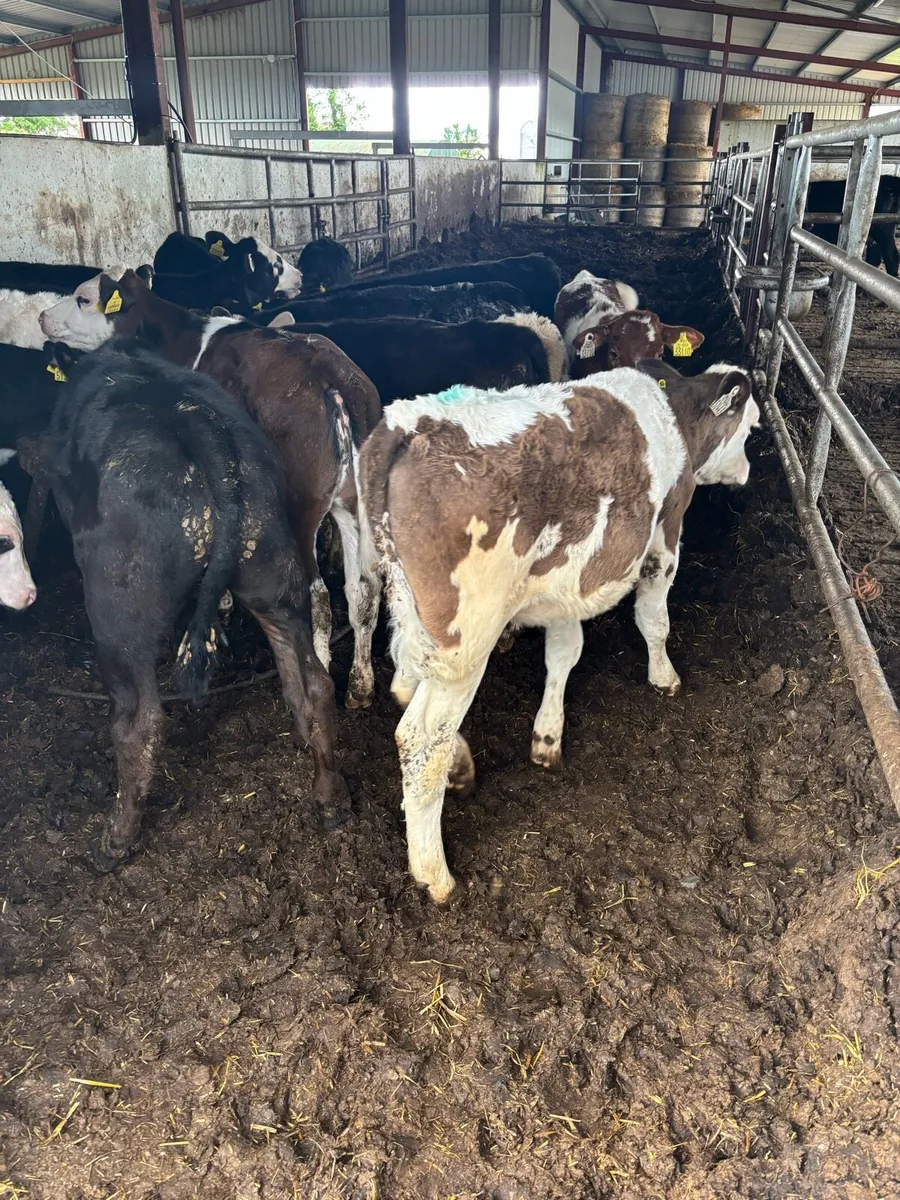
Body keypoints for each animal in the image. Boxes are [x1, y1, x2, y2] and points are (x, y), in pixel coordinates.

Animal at [42, 269, 382, 708]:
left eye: (83, 298)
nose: (43, 317)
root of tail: (332, 378)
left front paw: (221, 605)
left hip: (299, 505)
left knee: (318, 596)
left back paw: (320, 670)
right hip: (351, 504)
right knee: (363, 590)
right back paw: (360, 687)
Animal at [47, 337, 350, 870]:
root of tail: (201, 432)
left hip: (118, 605)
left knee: (141, 720)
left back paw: (115, 841)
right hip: (274, 574)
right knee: (312, 681)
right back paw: (327, 791)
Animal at [359, 360, 760, 901]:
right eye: (751, 427)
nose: (746, 472)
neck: (675, 411)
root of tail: (408, 424)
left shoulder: (572, 574)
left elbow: (565, 651)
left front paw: (548, 735)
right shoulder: (665, 535)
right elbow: (653, 619)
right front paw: (664, 676)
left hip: (415, 618)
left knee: (404, 685)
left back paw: (461, 766)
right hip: (466, 642)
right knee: (420, 739)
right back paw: (434, 872)